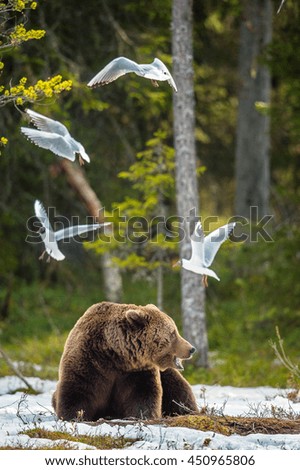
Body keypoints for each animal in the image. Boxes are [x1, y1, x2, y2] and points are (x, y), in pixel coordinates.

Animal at [52, 302, 198, 420]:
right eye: (173, 333)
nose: (191, 349)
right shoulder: (89, 361)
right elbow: (77, 391)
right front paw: (74, 416)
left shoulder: (135, 371)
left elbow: (142, 393)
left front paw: (142, 415)